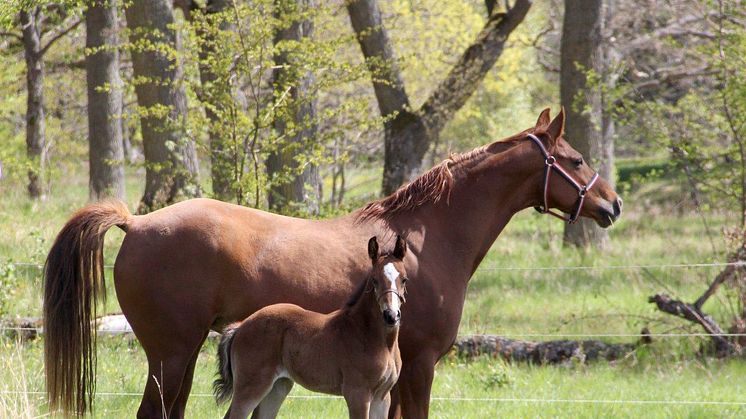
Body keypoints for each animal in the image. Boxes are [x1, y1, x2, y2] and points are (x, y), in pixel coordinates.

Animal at [212, 236, 404, 419]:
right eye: (374, 280)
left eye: (404, 279)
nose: (391, 315)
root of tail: (240, 326)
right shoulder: (357, 393)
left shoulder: (382, 397)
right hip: (251, 385)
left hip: (278, 386)